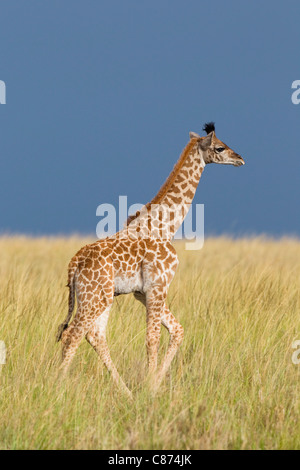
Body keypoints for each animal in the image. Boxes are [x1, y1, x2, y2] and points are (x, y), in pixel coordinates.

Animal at [56, 122, 244, 396]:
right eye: (220, 147)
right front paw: (150, 388)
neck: (165, 228)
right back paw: (55, 387)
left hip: (101, 297)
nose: (240, 158)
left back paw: (125, 392)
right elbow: (153, 337)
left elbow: (177, 330)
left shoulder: (142, 292)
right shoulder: (158, 286)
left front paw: (153, 384)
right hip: (94, 298)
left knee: (94, 335)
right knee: (73, 334)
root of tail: (74, 264)